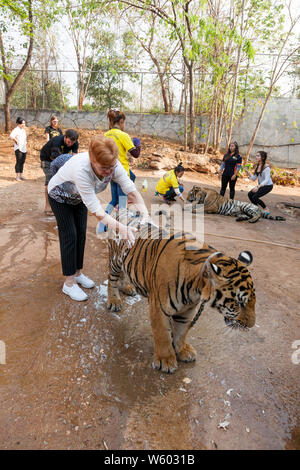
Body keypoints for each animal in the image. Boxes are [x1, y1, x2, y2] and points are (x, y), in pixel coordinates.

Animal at [106, 211, 256, 372]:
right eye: (239, 303)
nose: (251, 326)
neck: (196, 289)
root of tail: (121, 210)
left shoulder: (187, 309)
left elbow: (181, 331)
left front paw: (183, 350)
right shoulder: (159, 308)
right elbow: (162, 335)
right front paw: (166, 360)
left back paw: (128, 287)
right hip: (115, 260)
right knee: (111, 279)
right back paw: (114, 301)